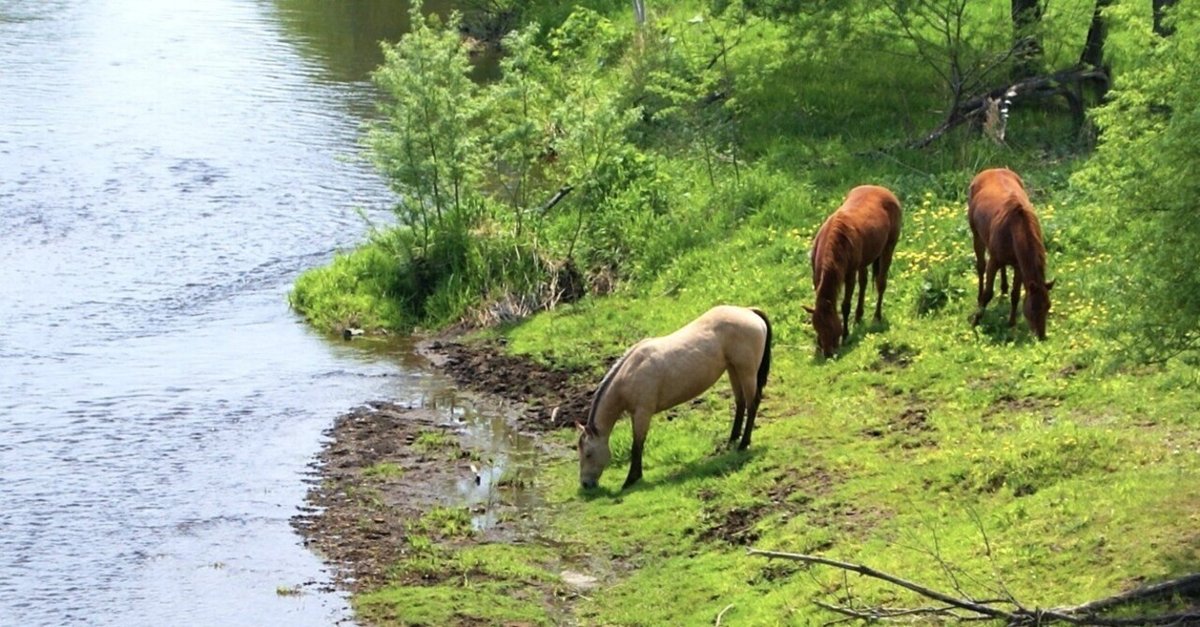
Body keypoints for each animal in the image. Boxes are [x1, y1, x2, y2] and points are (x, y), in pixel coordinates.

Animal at [576, 302, 772, 487]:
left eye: (588, 454)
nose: (585, 484)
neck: (630, 373)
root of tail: (748, 311)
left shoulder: (642, 413)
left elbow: (637, 444)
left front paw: (631, 479)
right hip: (733, 369)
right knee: (740, 402)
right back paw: (732, 440)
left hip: (746, 371)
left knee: (752, 404)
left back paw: (743, 444)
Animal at [806, 183, 902, 355]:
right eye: (817, 327)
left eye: (830, 326)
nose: (828, 353)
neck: (835, 242)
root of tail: (881, 189)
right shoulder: (816, 276)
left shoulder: (849, 275)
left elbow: (845, 305)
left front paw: (845, 335)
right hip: (864, 261)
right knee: (863, 283)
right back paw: (858, 316)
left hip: (888, 249)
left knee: (881, 284)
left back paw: (876, 317)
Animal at [969, 168, 1056, 338]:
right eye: (1033, 307)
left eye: (1048, 306)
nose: (1041, 336)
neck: (1015, 228)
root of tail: (990, 170)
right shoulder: (994, 261)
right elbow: (988, 293)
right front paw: (976, 320)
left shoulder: (1019, 266)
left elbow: (1015, 295)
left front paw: (1011, 323)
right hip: (977, 235)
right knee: (981, 267)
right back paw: (979, 296)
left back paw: (1003, 288)